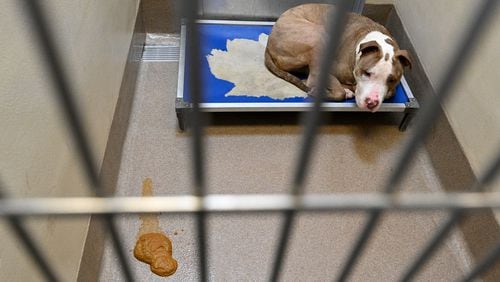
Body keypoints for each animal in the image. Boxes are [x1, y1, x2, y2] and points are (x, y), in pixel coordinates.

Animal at [264, 3, 412, 112]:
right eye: (367, 73)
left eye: (392, 80)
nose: (372, 102)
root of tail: (269, 43)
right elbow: (339, 90)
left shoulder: (391, 89)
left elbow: (389, 93)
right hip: (318, 36)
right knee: (312, 79)